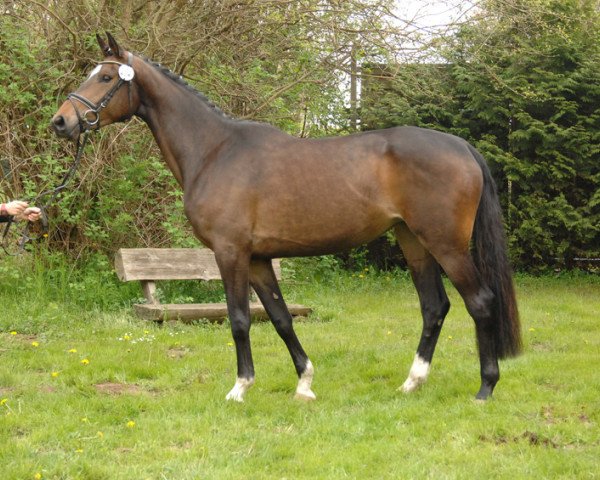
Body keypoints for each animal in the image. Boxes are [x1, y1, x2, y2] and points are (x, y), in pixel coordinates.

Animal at [51, 32, 520, 402]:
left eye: (105, 77)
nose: (61, 121)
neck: (215, 150)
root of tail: (462, 146)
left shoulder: (230, 253)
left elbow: (240, 320)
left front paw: (240, 387)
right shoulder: (259, 259)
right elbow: (279, 319)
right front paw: (304, 383)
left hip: (445, 244)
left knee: (479, 302)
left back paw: (485, 387)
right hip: (413, 242)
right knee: (434, 306)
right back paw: (412, 382)